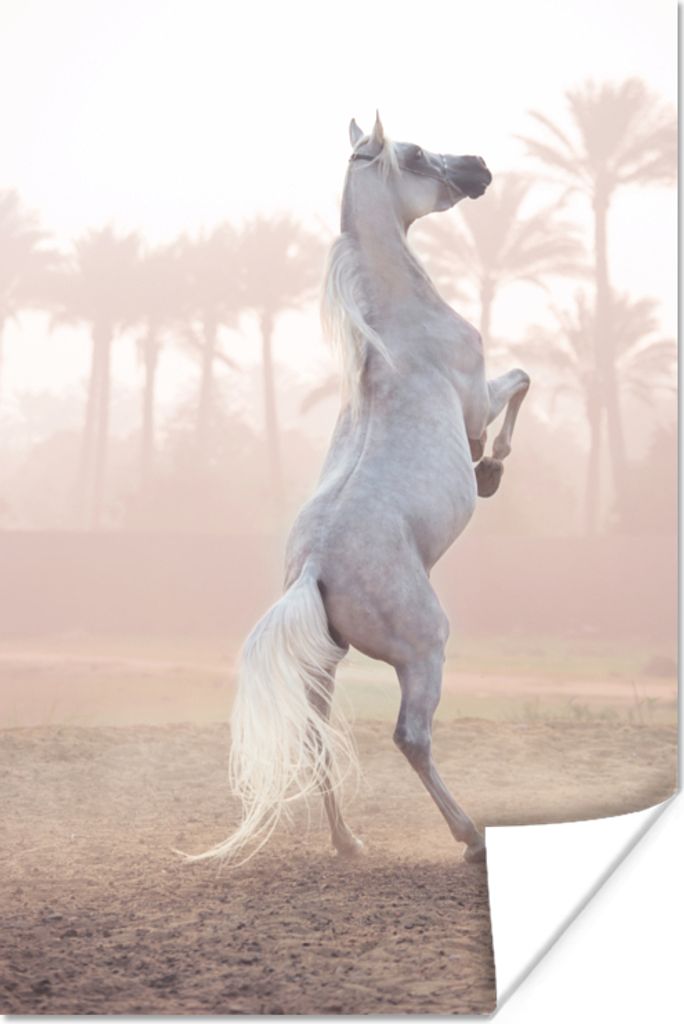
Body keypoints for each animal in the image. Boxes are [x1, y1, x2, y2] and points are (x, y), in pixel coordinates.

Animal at [190, 113, 529, 867]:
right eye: (414, 153)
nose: (478, 166)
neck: (397, 332)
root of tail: (314, 568)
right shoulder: (476, 400)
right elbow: (521, 382)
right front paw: (490, 472)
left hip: (325, 664)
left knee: (315, 738)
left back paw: (348, 842)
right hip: (425, 649)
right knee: (411, 736)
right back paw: (469, 838)